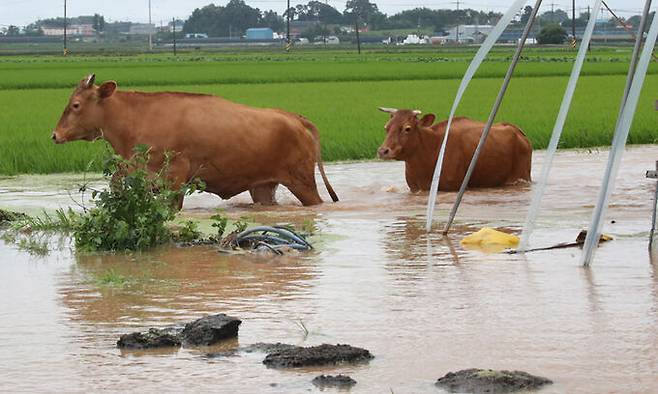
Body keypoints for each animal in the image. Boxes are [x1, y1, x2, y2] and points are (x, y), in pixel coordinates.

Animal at [52, 75, 338, 208]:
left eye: (75, 105)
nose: (55, 134)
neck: (135, 120)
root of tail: (292, 116)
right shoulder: (131, 171)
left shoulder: (175, 177)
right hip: (263, 187)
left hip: (302, 182)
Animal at [376, 107, 532, 192]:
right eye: (386, 127)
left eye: (407, 128)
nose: (383, 151)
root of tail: (516, 130)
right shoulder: (415, 188)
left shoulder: (453, 186)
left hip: (521, 176)